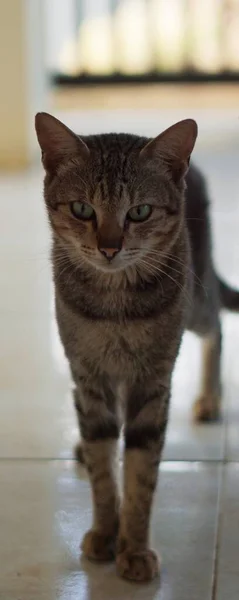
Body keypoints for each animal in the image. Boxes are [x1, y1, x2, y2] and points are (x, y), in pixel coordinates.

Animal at [35, 112, 239, 580]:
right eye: (83, 209)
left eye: (140, 212)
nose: (110, 247)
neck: (115, 311)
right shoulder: (87, 374)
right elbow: (103, 469)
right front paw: (104, 533)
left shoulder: (153, 380)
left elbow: (141, 474)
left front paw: (134, 548)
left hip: (196, 300)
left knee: (218, 325)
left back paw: (210, 398)